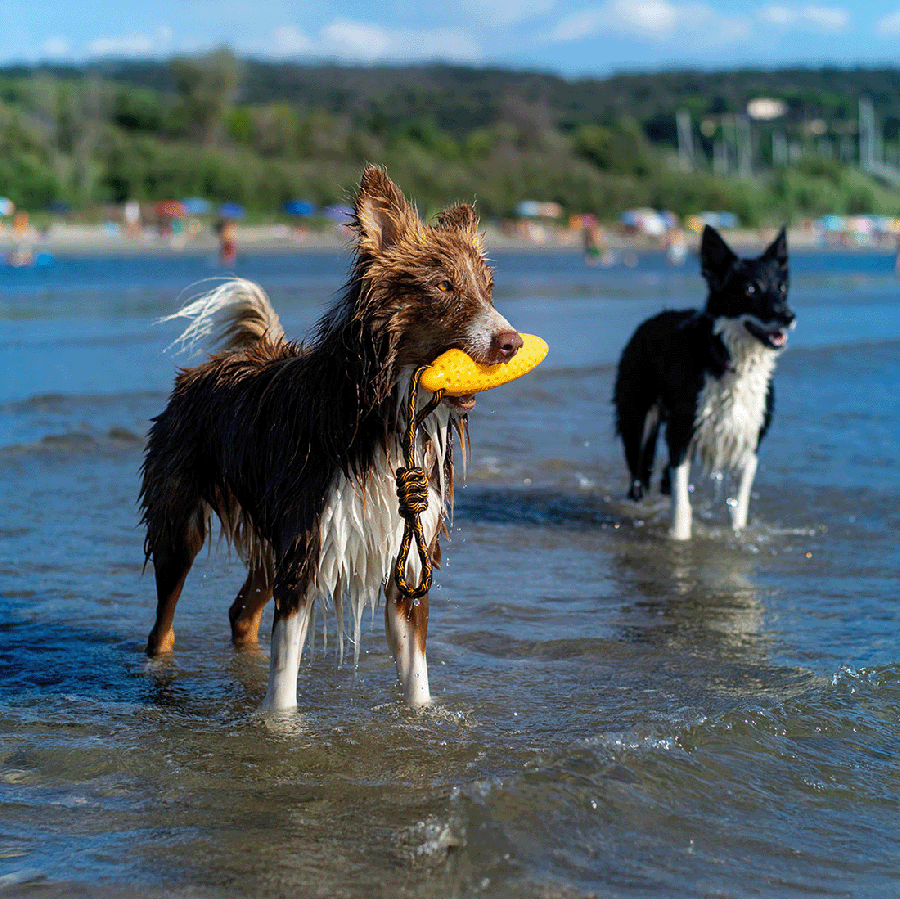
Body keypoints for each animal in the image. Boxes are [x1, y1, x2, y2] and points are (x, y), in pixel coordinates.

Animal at [140, 165, 523, 711]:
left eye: (488, 288)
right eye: (443, 284)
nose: (512, 343)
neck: (382, 420)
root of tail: (203, 371)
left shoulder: (405, 554)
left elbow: (417, 678)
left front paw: (423, 720)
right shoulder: (307, 546)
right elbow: (284, 684)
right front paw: (279, 724)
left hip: (270, 533)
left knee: (241, 612)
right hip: (181, 522)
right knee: (164, 622)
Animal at [613, 225, 795, 539]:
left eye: (782, 288)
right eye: (750, 289)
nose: (788, 316)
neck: (727, 360)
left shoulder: (749, 439)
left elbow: (739, 507)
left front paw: (737, 537)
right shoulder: (682, 431)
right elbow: (681, 505)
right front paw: (679, 539)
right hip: (637, 420)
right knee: (638, 475)